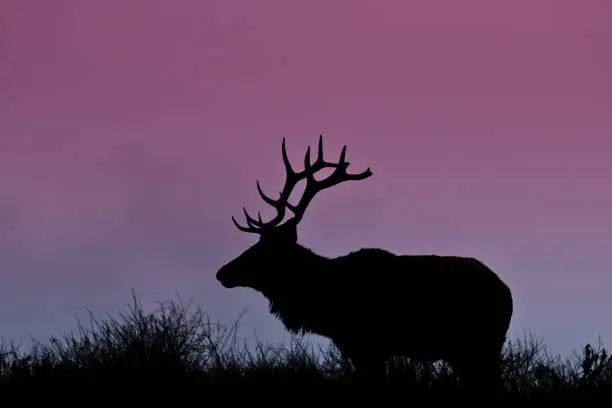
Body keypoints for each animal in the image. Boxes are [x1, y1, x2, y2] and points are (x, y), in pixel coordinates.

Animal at [218, 135, 512, 388]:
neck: (323, 305)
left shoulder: (368, 346)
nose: (222, 272)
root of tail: (507, 293)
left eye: (263, 250)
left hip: (481, 346)